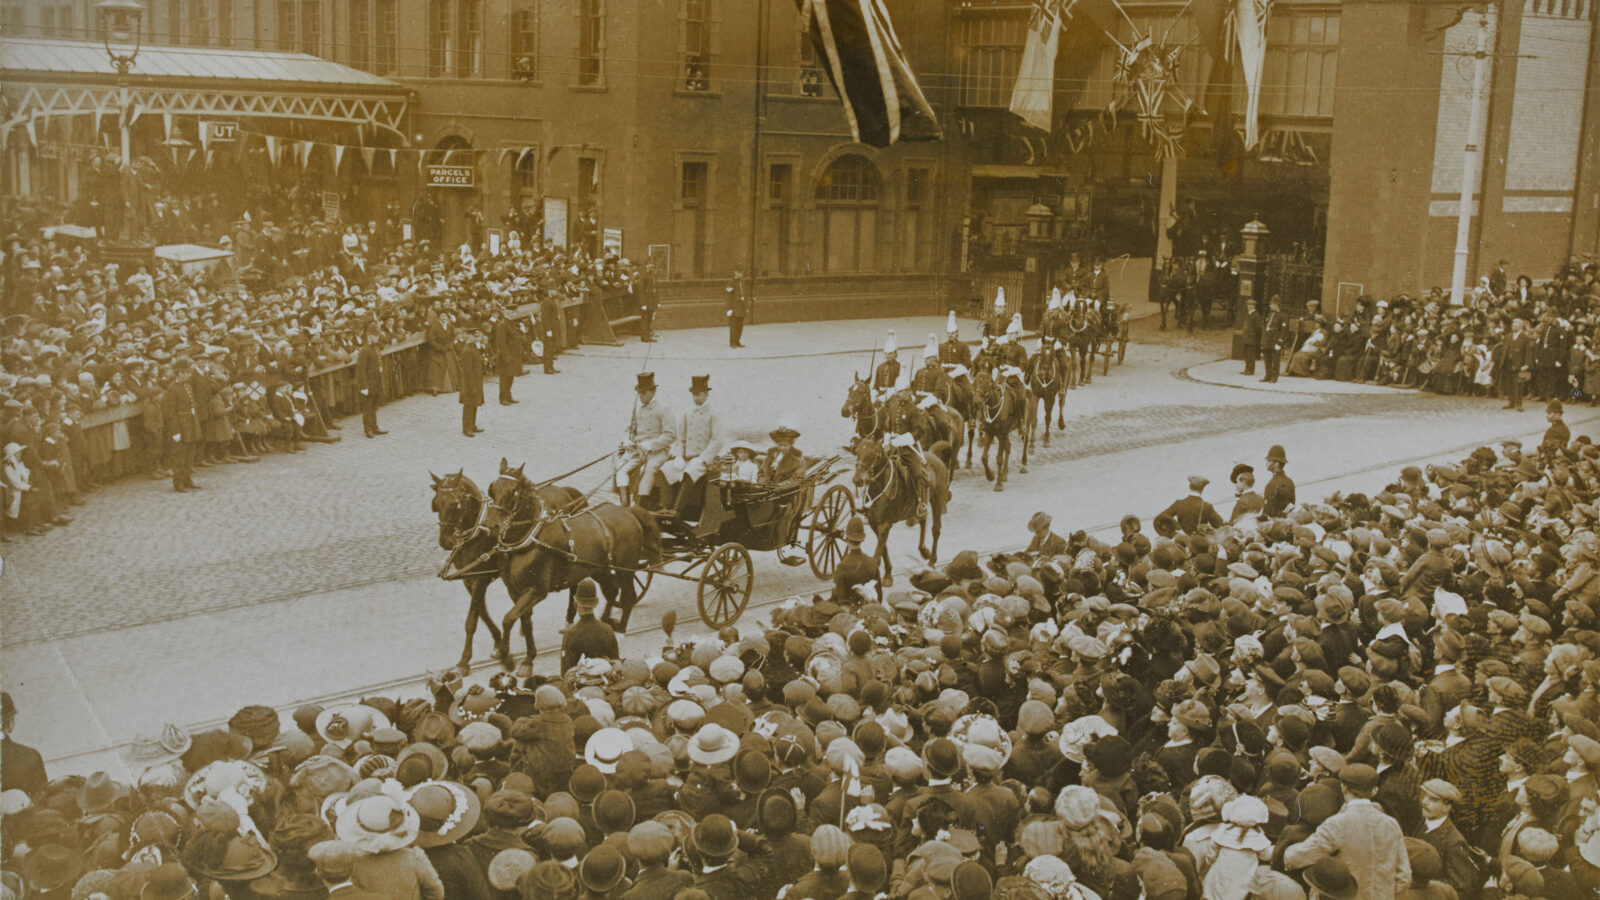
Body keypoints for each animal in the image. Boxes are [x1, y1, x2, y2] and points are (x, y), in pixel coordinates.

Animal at [480, 458, 656, 669]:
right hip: (600, 570)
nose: (492, 525)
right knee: (612, 591)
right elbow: (524, 621)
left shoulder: (537, 590)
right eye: (493, 488)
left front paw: (507, 658)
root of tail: (627, 510)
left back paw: (620, 630)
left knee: (629, 595)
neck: (528, 540)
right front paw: (529, 657)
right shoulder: (515, 591)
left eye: (514, 492)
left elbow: (508, 619)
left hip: (625, 570)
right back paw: (605, 621)